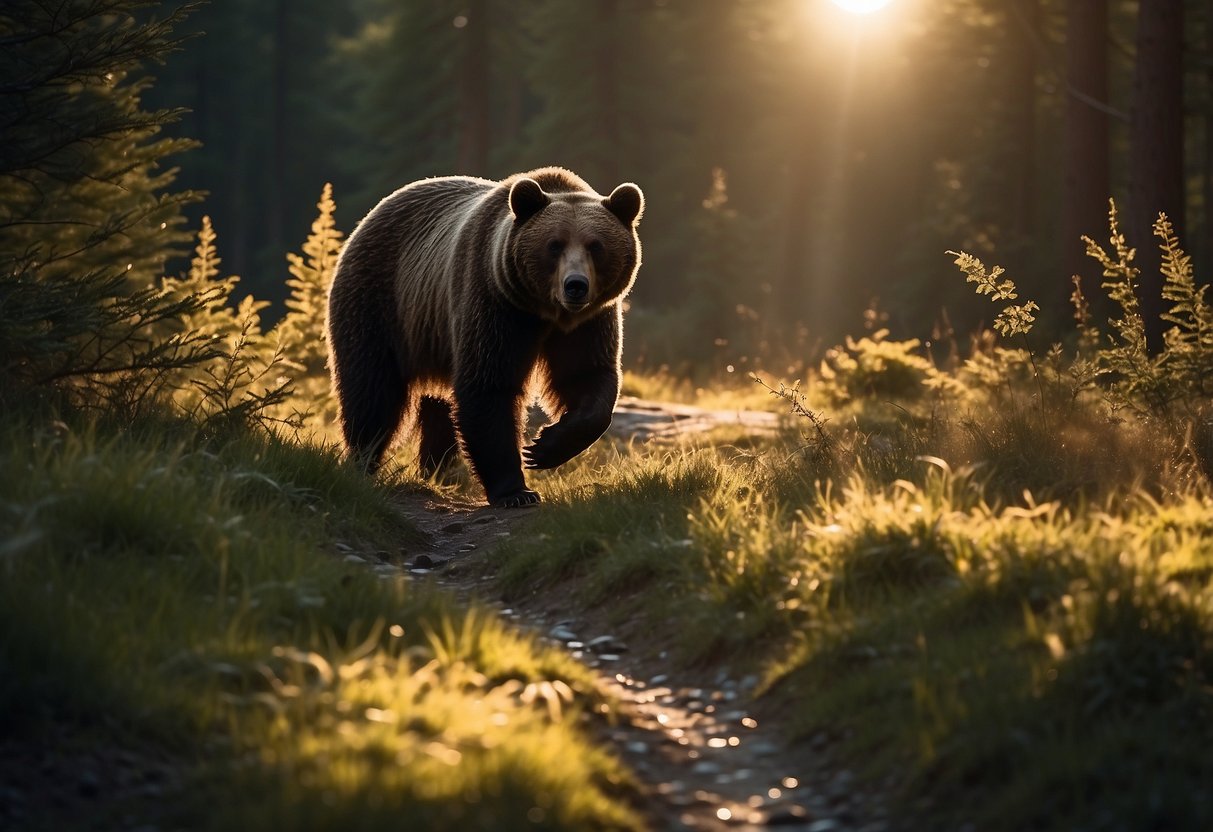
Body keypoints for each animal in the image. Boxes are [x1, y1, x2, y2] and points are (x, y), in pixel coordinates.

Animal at [322, 167, 645, 509]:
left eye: (595, 245)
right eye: (554, 245)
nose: (575, 286)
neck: (545, 312)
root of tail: (371, 215)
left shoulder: (588, 322)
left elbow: (585, 376)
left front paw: (544, 446)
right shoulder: (495, 302)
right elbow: (488, 385)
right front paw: (516, 490)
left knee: (438, 409)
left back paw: (439, 471)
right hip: (381, 304)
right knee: (372, 390)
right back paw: (363, 463)